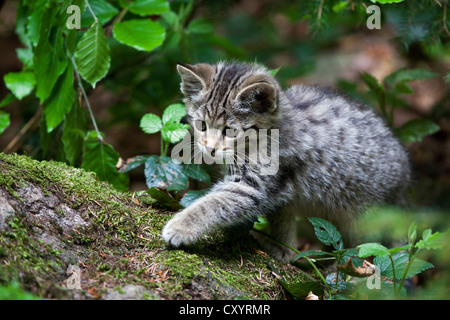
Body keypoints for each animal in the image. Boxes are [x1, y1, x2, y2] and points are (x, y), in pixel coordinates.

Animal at [162, 61, 412, 262]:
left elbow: (214, 204)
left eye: (230, 130)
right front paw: (286, 249)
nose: (210, 148)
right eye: (202, 125)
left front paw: (179, 227)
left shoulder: (254, 184)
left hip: (365, 214)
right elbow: (281, 217)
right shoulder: (280, 190)